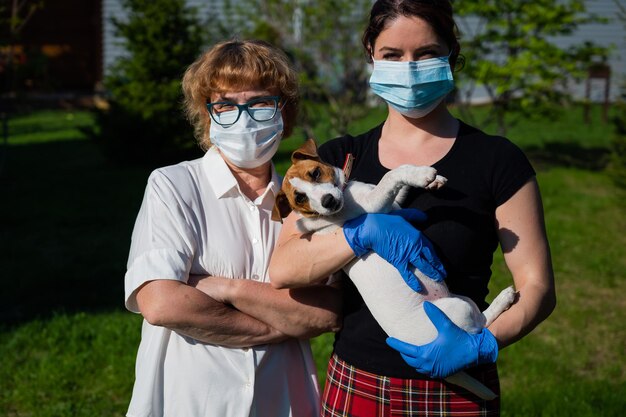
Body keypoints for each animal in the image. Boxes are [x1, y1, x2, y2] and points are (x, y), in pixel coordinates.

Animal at [270, 140, 516, 400]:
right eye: (300, 198)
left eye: (315, 173)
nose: (327, 201)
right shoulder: (375, 203)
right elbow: (392, 174)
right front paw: (422, 174)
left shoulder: (393, 206)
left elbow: (397, 186)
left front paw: (432, 181)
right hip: (458, 311)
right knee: (480, 329)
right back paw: (504, 299)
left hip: (461, 299)